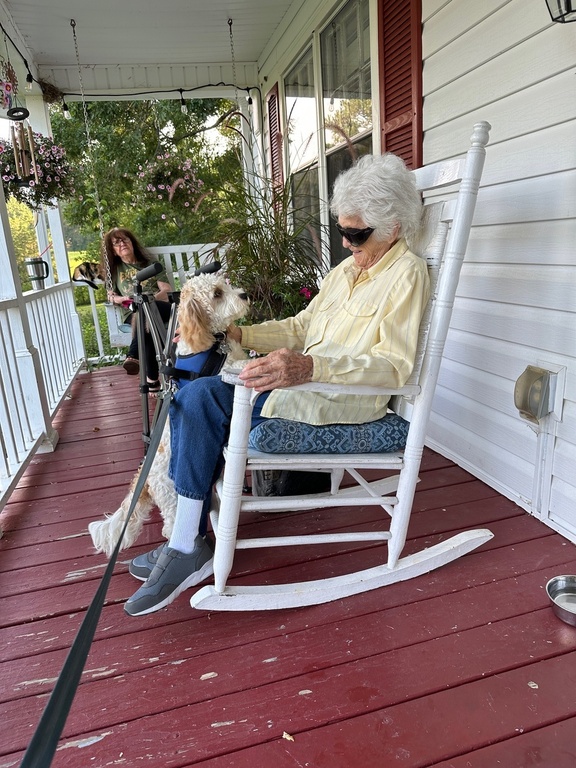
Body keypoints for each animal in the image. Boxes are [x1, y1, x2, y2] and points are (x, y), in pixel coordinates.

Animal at [88, 272, 248, 560]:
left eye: (227, 284)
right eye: (217, 294)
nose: (245, 295)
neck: (212, 346)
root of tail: (146, 479)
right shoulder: (224, 372)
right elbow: (240, 367)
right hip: (172, 496)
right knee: (172, 525)